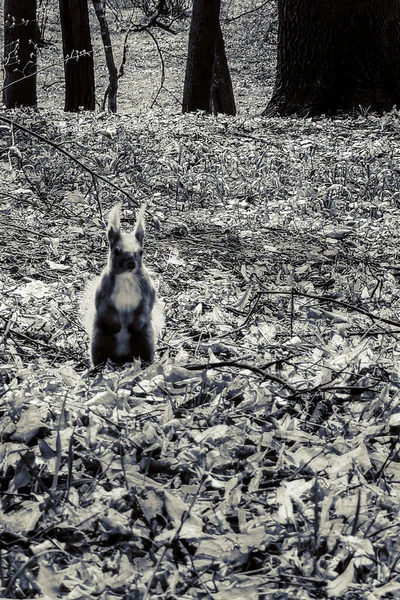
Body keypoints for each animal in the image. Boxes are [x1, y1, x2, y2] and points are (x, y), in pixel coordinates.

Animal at [81, 202, 164, 366]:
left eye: (141, 252)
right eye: (116, 251)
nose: (131, 264)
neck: (126, 277)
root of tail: (122, 355)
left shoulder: (147, 289)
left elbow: (146, 305)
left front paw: (134, 325)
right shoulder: (104, 290)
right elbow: (104, 307)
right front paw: (116, 326)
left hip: (145, 338)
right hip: (99, 339)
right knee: (99, 356)